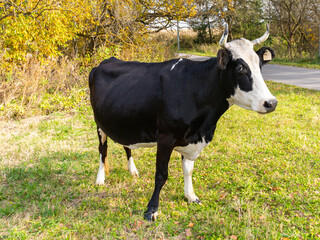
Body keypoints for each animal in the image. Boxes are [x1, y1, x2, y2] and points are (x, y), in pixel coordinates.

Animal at [89, 24, 278, 221]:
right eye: (240, 68)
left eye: (260, 66)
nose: (271, 103)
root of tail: (106, 61)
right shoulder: (166, 137)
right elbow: (161, 174)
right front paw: (152, 209)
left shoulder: (191, 138)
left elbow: (188, 169)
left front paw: (191, 196)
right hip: (99, 124)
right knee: (103, 150)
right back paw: (100, 179)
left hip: (123, 121)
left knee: (126, 146)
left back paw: (132, 170)